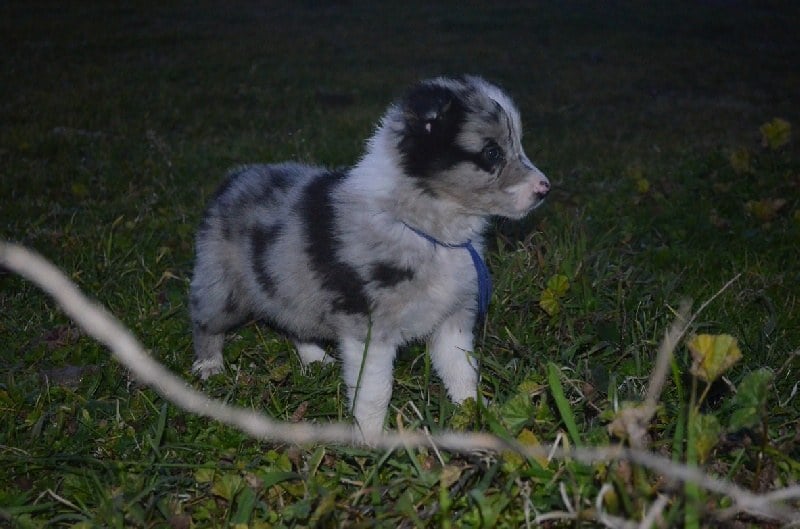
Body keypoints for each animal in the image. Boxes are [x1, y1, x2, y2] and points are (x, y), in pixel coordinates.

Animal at [189, 74, 552, 438]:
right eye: (492, 152)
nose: (544, 189)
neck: (430, 232)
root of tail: (234, 178)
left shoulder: (452, 318)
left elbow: (462, 370)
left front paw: (478, 413)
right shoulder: (369, 327)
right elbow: (376, 389)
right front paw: (370, 437)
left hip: (287, 285)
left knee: (294, 325)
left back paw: (316, 359)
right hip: (224, 285)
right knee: (205, 321)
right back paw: (209, 367)